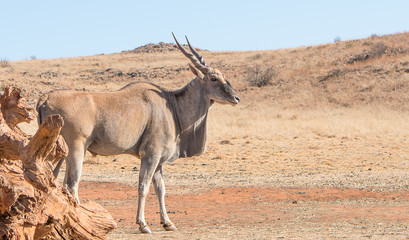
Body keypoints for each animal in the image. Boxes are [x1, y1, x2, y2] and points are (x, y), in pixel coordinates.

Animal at [35, 33, 239, 232]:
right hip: (76, 149)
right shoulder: (150, 155)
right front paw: (143, 224)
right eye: (213, 78)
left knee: (54, 181)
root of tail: (44, 98)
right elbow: (144, 187)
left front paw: (167, 223)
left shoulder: (159, 161)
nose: (236, 98)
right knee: (71, 185)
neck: (172, 106)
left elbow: (161, 189)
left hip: (59, 152)